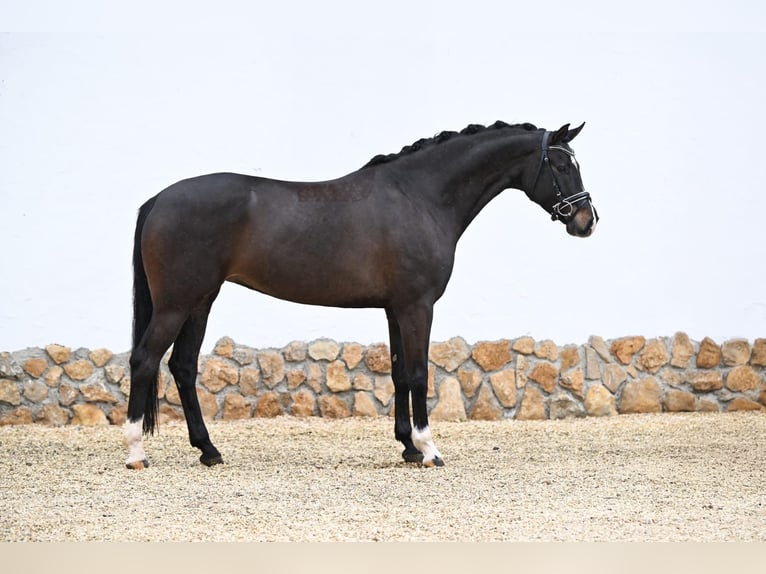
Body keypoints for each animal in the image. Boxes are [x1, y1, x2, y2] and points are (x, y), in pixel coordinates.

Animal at [124, 121, 598, 469]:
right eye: (560, 165)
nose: (586, 220)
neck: (420, 197)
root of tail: (158, 199)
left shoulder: (394, 308)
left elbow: (400, 373)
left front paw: (407, 447)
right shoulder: (417, 306)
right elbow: (420, 373)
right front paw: (429, 450)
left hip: (200, 301)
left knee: (183, 367)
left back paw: (209, 450)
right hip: (176, 304)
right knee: (145, 360)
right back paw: (136, 453)